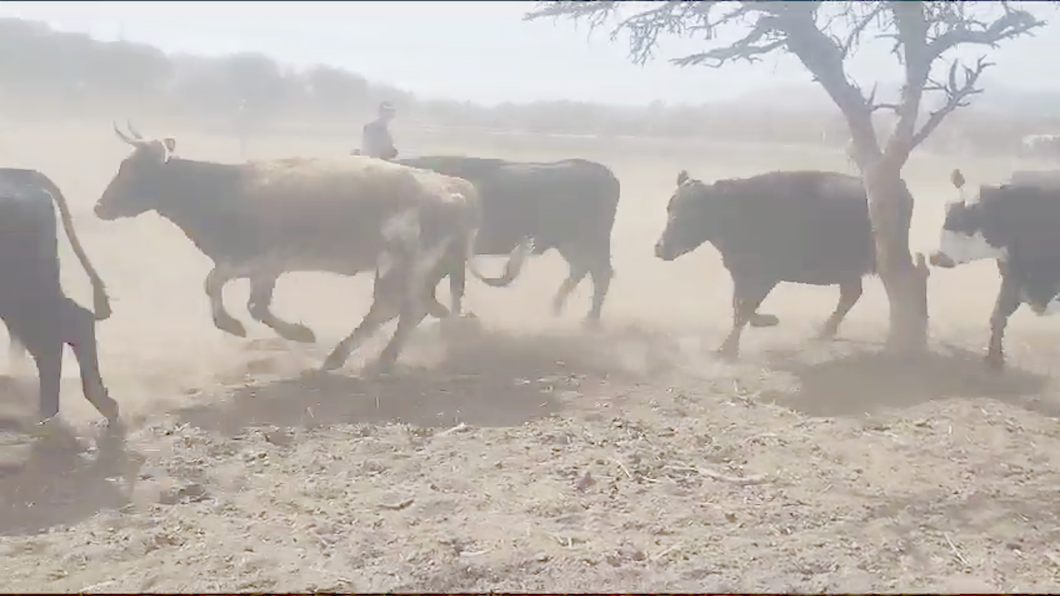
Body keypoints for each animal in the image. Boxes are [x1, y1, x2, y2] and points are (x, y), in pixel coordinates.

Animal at [93, 121, 530, 371]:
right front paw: (298, 333)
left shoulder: (252, 258)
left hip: (404, 262)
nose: (99, 207)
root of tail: (454, 188)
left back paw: (369, 358)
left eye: (133, 169)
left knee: (401, 309)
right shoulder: (268, 267)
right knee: (409, 308)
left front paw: (232, 325)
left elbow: (214, 285)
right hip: (416, 265)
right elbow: (257, 305)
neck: (224, 189)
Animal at [394, 155, 619, 322]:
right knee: (582, 270)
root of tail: (608, 176)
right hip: (570, 244)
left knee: (600, 274)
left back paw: (590, 319)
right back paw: (558, 309)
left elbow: (450, 289)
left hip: (591, 241)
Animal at [648, 169, 881, 360]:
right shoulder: (741, 273)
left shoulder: (765, 275)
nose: (660, 247)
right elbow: (739, 305)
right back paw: (823, 332)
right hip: (848, 272)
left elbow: (745, 307)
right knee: (851, 294)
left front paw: (729, 348)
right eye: (669, 207)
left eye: (692, 212)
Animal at [928, 167, 1060, 369]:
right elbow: (999, 315)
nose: (936, 256)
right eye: (946, 213)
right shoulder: (1013, 275)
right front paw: (994, 358)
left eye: (963, 220)